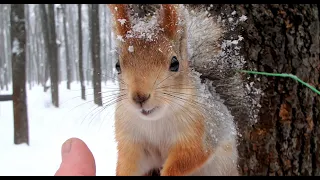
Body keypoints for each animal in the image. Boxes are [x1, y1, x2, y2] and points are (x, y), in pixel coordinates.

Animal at [109, 4, 239, 176]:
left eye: (175, 63)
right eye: (117, 65)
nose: (140, 97)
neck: (155, 121)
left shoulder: (202, 132)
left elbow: (189, 156)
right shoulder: (131, 139)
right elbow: (130, 164)